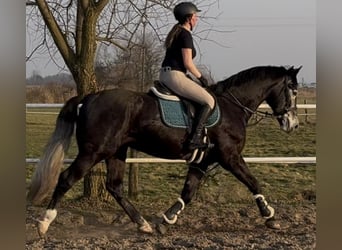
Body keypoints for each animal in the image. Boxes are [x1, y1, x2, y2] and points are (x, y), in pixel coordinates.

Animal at [29, 64, 302, 234]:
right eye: (293, 90)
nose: (293, 124)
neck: (232, 106)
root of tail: (89, 98)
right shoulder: (230, 157)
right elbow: (253, 182)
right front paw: (270, 217)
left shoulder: (202, 161)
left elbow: (189, 192)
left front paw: (166, 220)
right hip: (94, 152)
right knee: (66, 179)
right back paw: (44, 223)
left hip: (116, 152)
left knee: (114, 187)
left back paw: (143, 225)